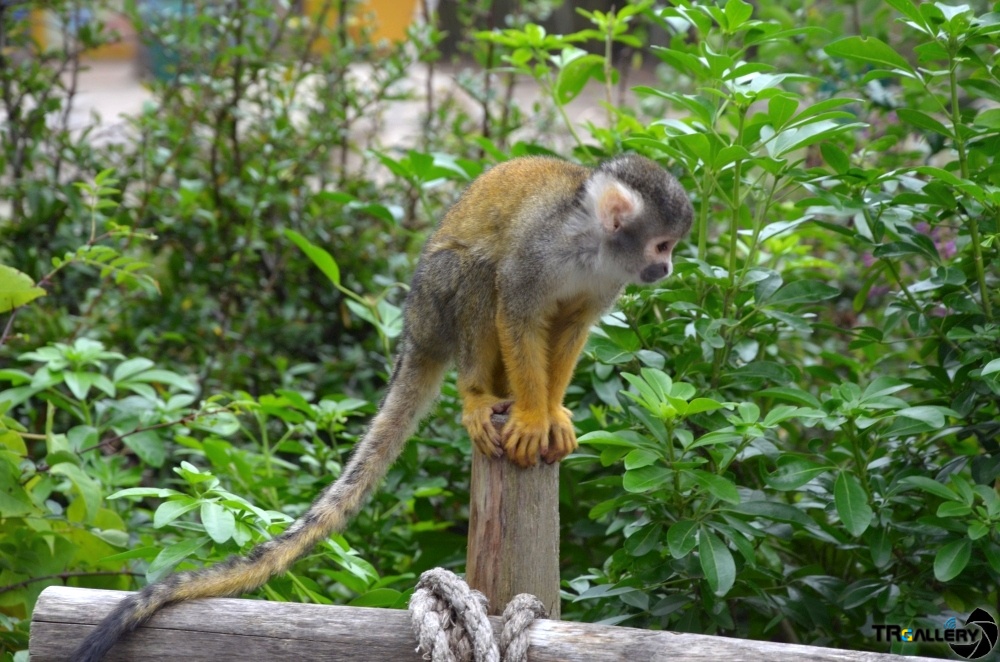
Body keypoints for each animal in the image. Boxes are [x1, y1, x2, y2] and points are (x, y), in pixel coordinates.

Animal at [72, 153, 693, 661]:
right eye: (662, 245)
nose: (665, 270)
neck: (592, 243)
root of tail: (412, 334)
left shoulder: (608, 282)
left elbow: (572, 327)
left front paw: (550, 413)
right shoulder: (541, 249)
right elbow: (516, 307)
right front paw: (533, 417)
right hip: (432, 309)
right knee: (474, 272)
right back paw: (480, 396)